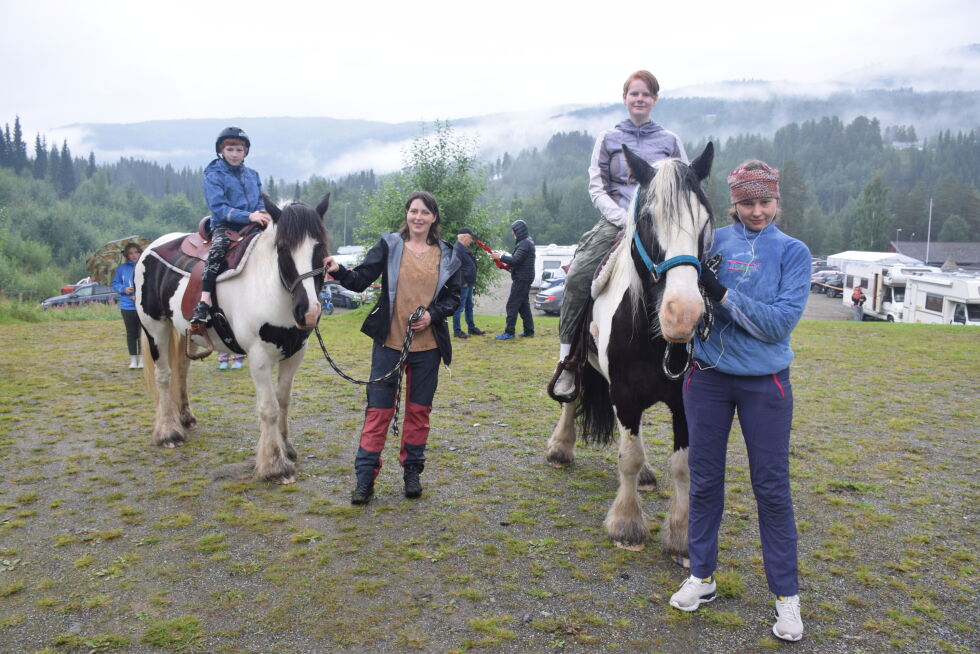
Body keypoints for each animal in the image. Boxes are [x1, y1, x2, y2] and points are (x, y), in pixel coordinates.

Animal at [136, 192, 332, 484]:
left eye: (319, 248)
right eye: (283, 248)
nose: (308, 312)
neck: (269, 287)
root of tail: (150, 249)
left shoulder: (296, 353)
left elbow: (283, 401)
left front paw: (286, 447)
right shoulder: (259, 357)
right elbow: (269, 408)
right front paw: (275, 464)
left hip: (184, 334)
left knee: (181, 372)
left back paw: (185, 418)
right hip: (155, 328)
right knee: (164, 376)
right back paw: (169, 432)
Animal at [544, 142, 712, 560]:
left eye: (705, 221)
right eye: (648, 219)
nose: (683, 313)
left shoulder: (684, 400)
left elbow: (683, 465)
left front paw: (682, 536)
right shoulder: (623, 394)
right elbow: (629, 458)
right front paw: (627, 525)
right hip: (580, 364)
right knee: (572, 396)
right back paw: (560, 448)